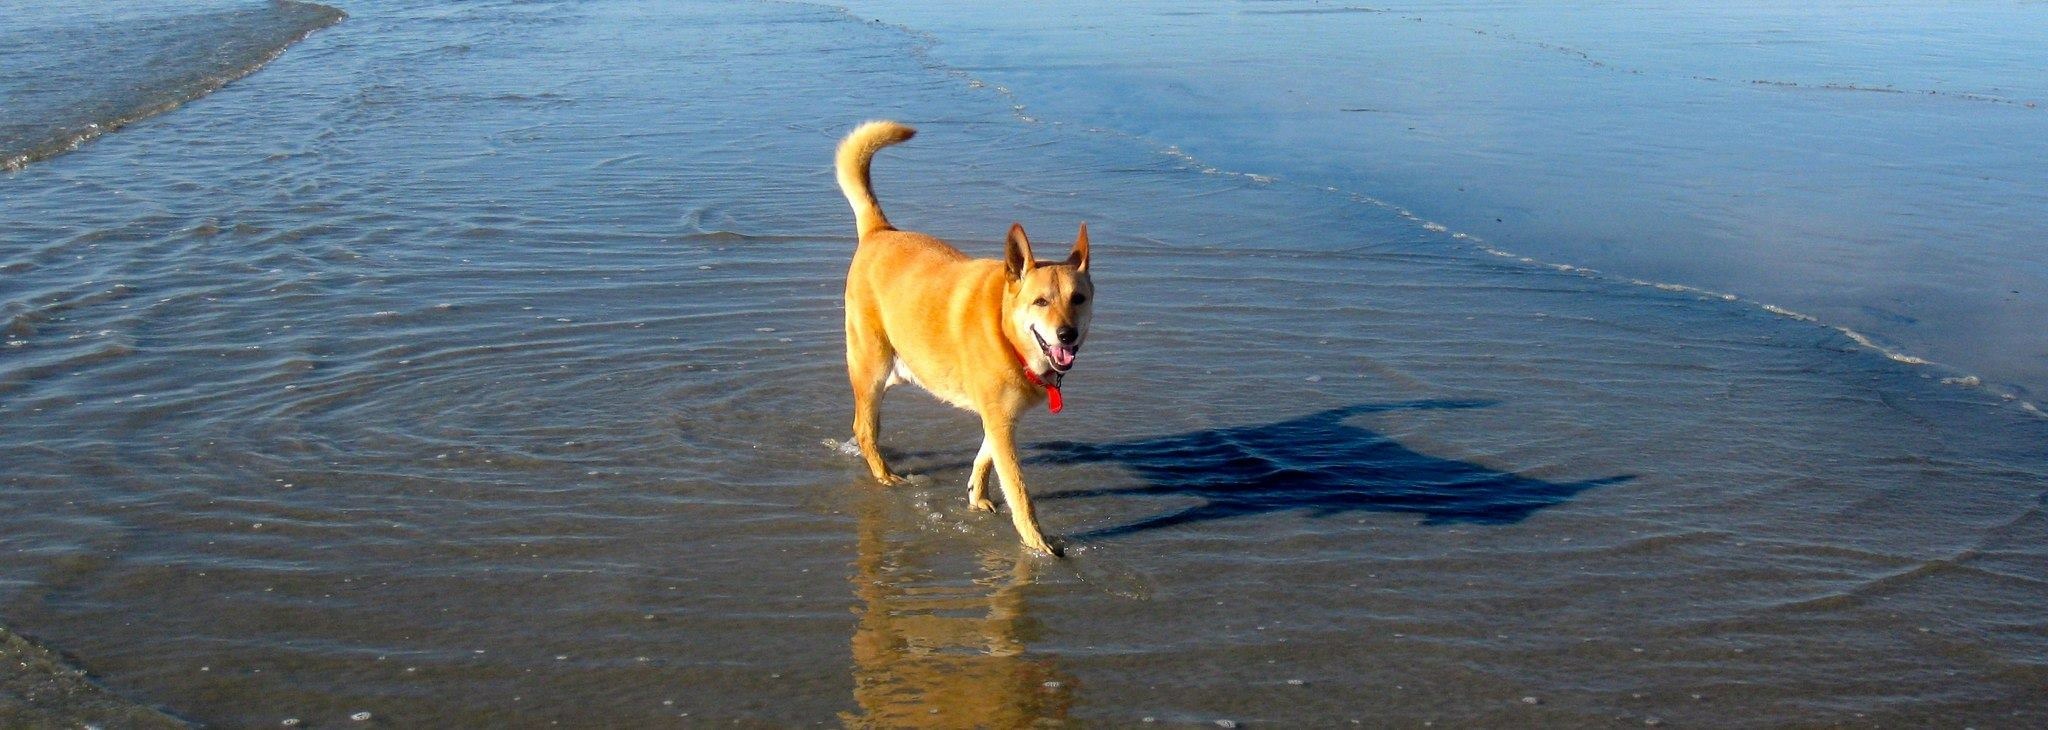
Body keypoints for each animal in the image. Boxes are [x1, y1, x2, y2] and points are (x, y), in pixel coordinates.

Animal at [835, 119, 1097, 553]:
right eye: (1041, 301)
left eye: (1078, 298)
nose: (1067, 335)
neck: (1006, 333)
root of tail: (880, 231)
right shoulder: (1001, 422)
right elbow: (1019, 490)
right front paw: (1037, 544)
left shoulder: (1001, 417)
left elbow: (984, 458)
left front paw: (977, 495)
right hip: (872, 366)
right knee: (864, 428)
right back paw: (884, 475)